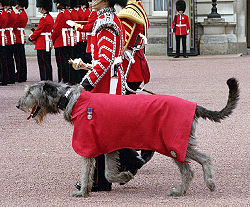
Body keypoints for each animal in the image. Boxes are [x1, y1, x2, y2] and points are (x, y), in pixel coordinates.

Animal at [16, 77, 239, 197]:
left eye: (30, 92)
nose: (18, 105)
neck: (71, 99)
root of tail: (193, 105)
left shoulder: (88, 143)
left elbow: (88, 170)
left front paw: (82, 192)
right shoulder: (108, 145)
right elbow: (107, 173)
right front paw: (123, 176)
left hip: (174, 142)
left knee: (199, 162)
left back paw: (202, 184)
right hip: (175, 144)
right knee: (193, 166)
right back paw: (187, 189)